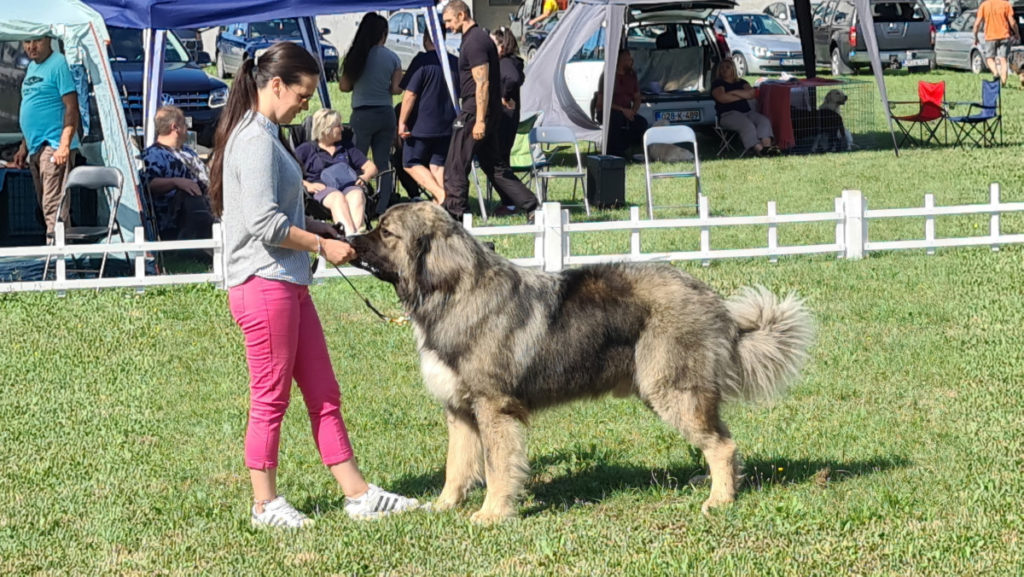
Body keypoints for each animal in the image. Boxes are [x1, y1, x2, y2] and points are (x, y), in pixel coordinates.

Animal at [348, 202, 811, 524]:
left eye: (385, 231)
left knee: (722, 445)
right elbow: (456, 466)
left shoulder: (493, 408)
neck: (452, 293)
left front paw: (492, 513)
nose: (350, 239)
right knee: (721, 437)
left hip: (671, 389)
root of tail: (713, 300)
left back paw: (719, 499)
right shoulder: (460, 410)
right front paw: (444, 506)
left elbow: (497, 466)